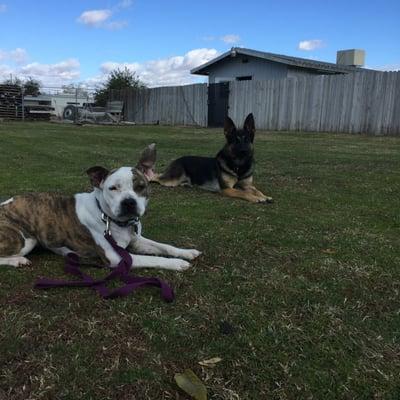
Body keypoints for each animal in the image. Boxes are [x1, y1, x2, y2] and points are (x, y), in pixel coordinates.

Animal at [0, 144, 200, 268]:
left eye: (140, 187)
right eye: (113, 188)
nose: (129, 202)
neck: (109, 217)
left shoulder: (137, 241)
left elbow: (164, 246)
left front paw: (186, 252)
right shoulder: (118, 258)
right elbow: (153, 260)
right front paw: (177, 264)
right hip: (24, 239)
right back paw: (17, 261)